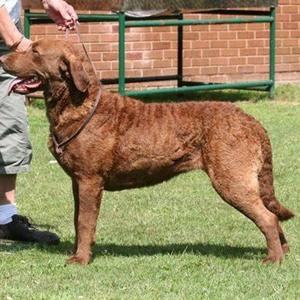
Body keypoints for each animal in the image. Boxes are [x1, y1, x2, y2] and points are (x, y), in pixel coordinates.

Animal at [0, 38, 292, 264]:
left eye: (35, 52)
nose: (2, 58)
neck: (79, 104)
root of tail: (253, 122)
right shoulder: (77, 181)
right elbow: (77, 218)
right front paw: (79, 251)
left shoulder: (89, 180)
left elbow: (84, 221)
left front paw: (80, 259)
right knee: (272, 214)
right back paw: (284, 250)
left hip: (231, 178)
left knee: (267, 216)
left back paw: (273, 259)